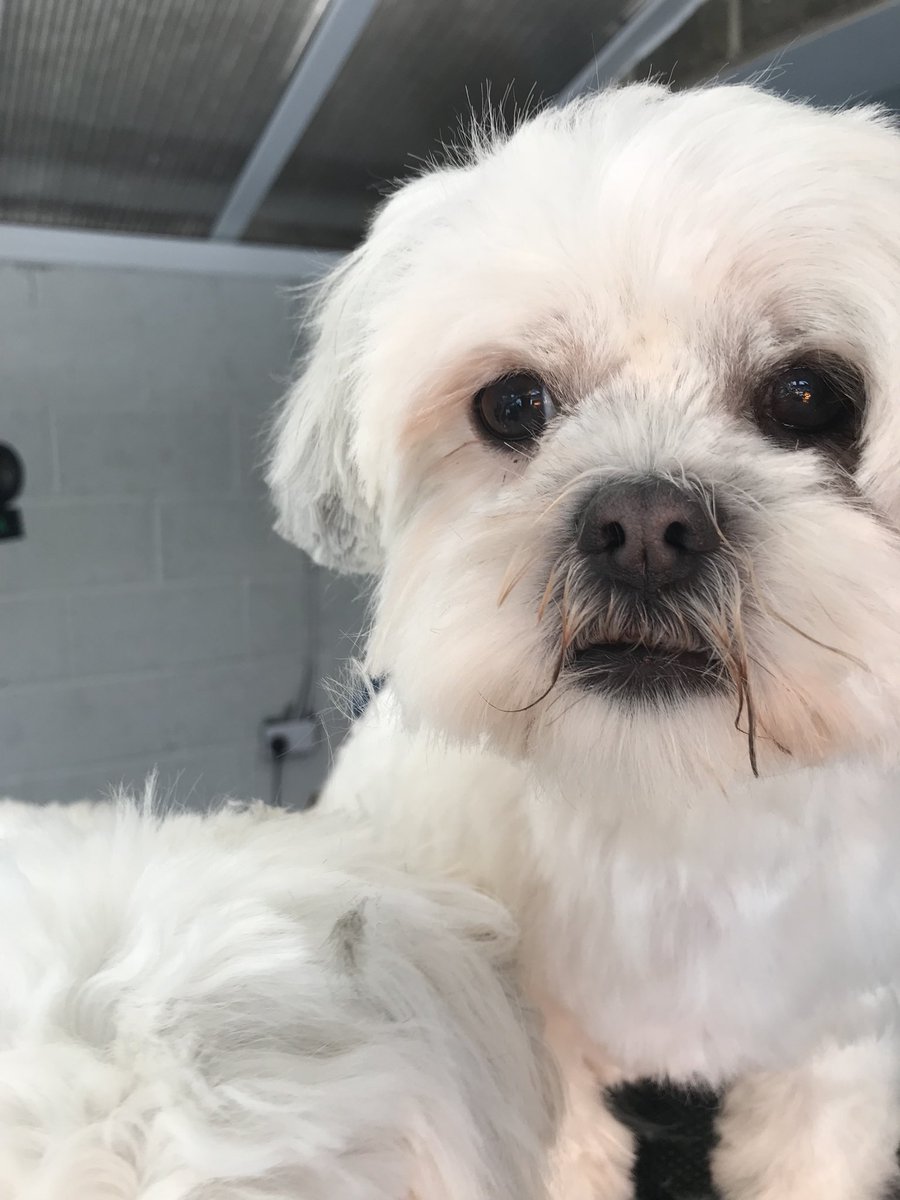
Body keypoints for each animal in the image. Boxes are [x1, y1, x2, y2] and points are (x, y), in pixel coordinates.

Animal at [267, 84, 900, 1200]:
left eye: (811, 397)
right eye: (513, 403)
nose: (644, 525)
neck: (670, 808)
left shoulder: (837, 1049)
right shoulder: (524, 1061)